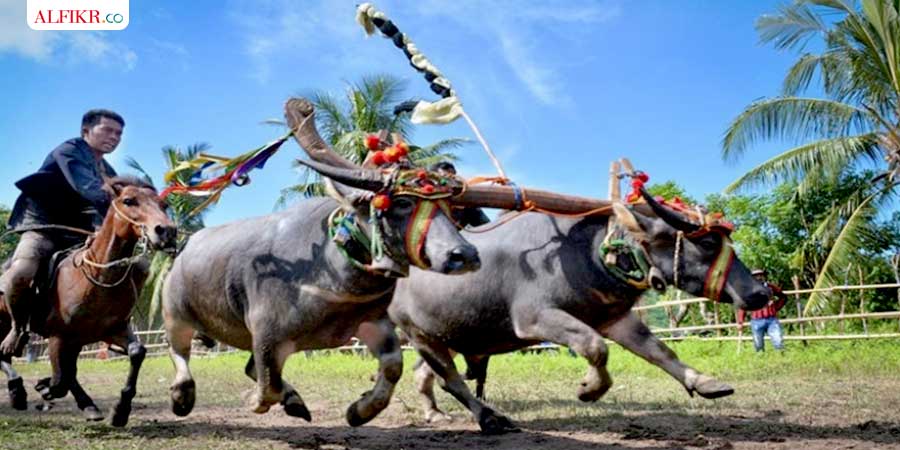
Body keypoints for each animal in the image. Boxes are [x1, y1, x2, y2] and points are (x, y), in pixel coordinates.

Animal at [0, 176, 177, 426]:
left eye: (164, 205)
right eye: (128, 200)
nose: (167, 231)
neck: (97, 278)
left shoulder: (111, 330)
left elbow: (136, 352)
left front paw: (120, 410)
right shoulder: (58, 337)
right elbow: (60, 380)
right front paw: (44, 387)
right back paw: (17, 388)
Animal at [162, 126, 486, 426]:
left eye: (447, 206)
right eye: (402, 203)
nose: (464, 254)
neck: (329, 268)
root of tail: (182, 249)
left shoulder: (371, 322)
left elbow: (394, 366)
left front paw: (360, 411)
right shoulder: (266, 333)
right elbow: (268, 387)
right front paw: (252, 400)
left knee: (249, 368)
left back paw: (295, 402)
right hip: (175, 314)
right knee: (179, 352)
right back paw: (182, 396)